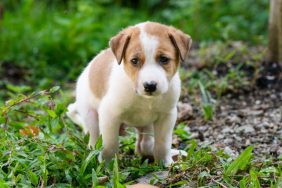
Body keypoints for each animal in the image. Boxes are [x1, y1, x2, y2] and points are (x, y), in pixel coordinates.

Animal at [67, 21, 193, 166]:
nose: (150, 86)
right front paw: (107, 165)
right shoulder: (109, 115)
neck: (143, 98)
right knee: (94, 142)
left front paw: (166, 163)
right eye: (134, 61)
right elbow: (110, 145)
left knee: (145, 145)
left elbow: (163, 143)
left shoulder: (167, 116)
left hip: (148, 124)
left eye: (164, 59)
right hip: (91, 118)